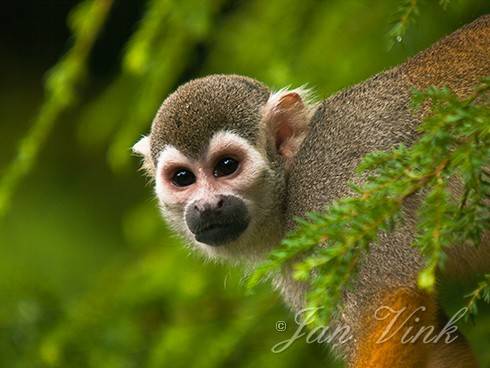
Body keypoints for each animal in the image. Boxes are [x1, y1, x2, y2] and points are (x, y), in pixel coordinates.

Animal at [133, 16, 490, 368]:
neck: (288, 192)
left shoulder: (334, 192)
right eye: (183, 177)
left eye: (226, 166)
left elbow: (391, 306)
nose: (207, 206)